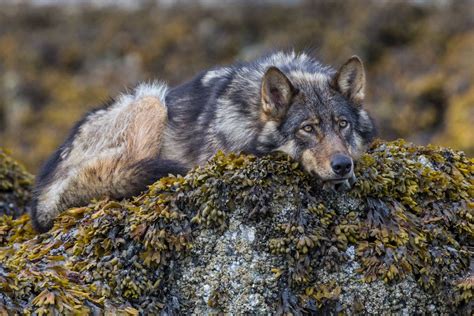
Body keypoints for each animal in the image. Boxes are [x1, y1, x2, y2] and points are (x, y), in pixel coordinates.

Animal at [31, 51, 376, 232]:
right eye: (307, 128)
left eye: (342, 124)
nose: (342, 165)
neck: (249, 117)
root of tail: (42, 194)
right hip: (151, 99)